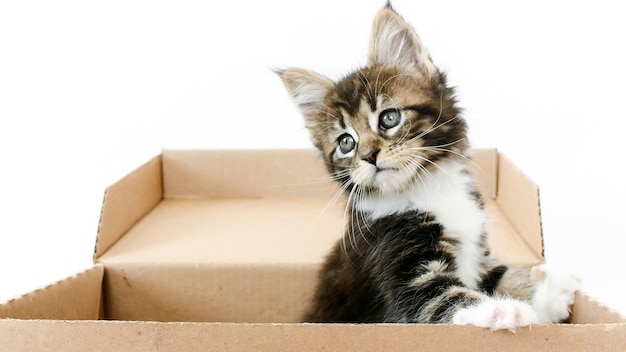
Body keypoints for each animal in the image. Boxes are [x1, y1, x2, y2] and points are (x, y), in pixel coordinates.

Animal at [278, 4, 580, 330]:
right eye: (346, 142)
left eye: (389, 118)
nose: (369, 156)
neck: (428, 187)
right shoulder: (401, 267)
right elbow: (441, 296)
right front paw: (499, 310)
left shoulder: (478, 253)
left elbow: (502, 275)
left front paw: (549, 295)